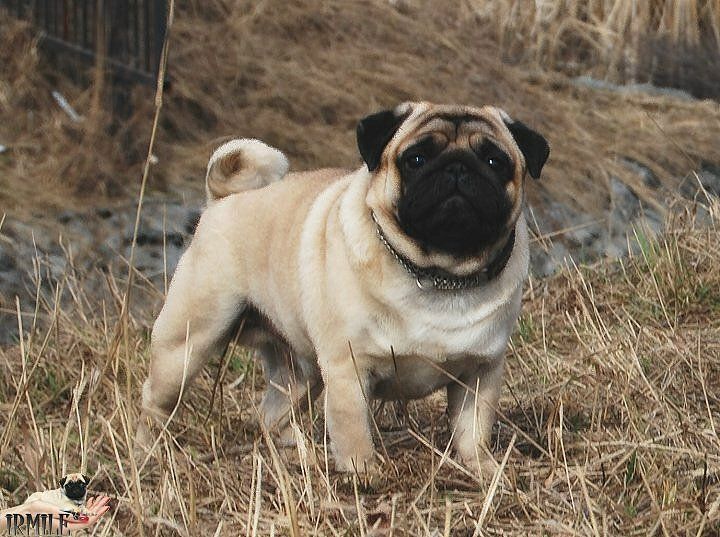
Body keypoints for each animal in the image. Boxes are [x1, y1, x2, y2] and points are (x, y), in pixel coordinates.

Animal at [138, 101, 549, 473]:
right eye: (415, 159)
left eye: (495, 162)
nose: (458, 167)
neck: (438, 271)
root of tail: (223, 199)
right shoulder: (349, 369)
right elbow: (353, 429)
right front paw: (362, 473)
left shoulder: (481, 372)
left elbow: (472, 430)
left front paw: (482, 468)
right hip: (188, 343)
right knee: (157, 398)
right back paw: (151, 448)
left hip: (302, 373)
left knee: (273, 413)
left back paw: (297, 453)